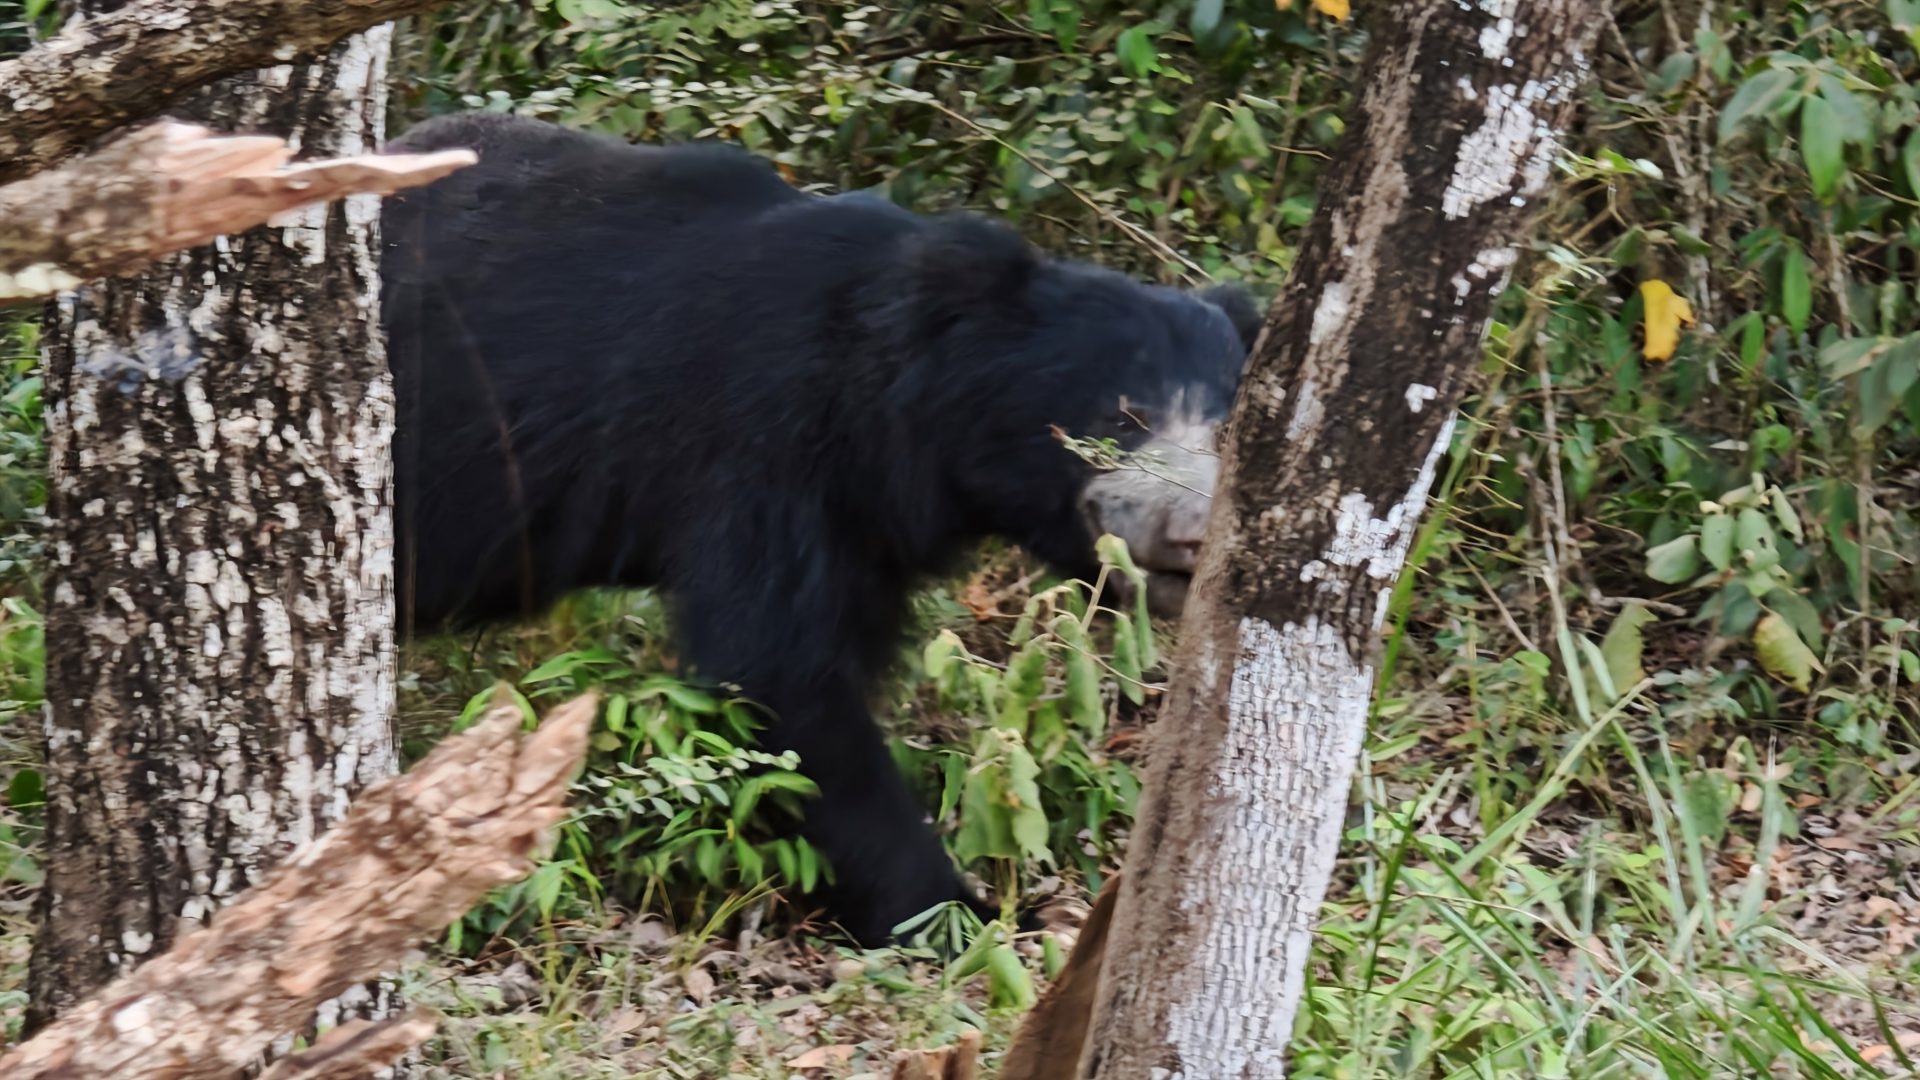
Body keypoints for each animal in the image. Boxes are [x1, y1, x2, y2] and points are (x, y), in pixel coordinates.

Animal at [378, 111, 1260, 946]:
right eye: (1121, 416)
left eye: (1227, 429)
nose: (1192, 535)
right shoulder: (761, 444)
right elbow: (782, 674)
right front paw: (955, 914)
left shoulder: (866, 519)